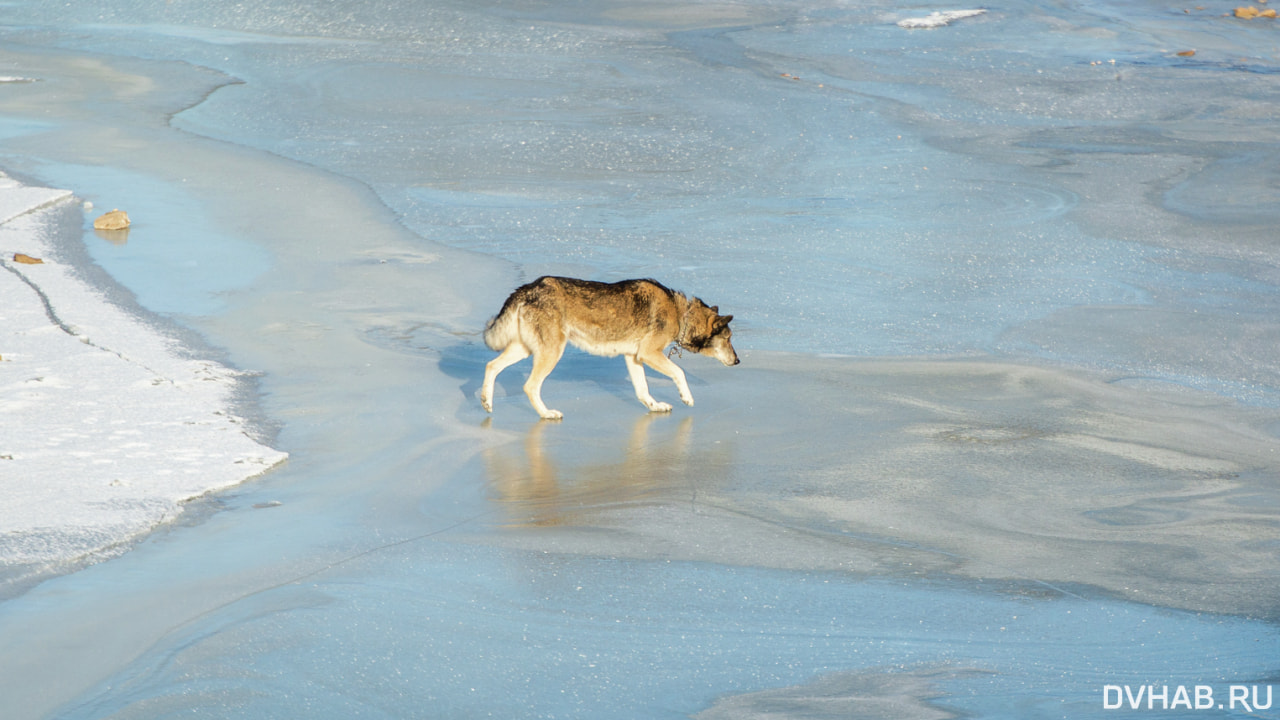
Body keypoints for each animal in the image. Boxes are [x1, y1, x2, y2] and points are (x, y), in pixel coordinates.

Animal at [481, 275, 742, 420]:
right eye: (729, 339)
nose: (738, 361)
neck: (681, 314)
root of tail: (529, 287)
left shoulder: (634, 357)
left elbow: (642, 390)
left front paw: (655, 406)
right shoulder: (648, 354)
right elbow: (679, 373)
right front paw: (686, 398)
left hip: (525, 349)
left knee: (491, 366)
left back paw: (486, 402)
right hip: (551, 353)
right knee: (530, 386)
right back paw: (547, 414)